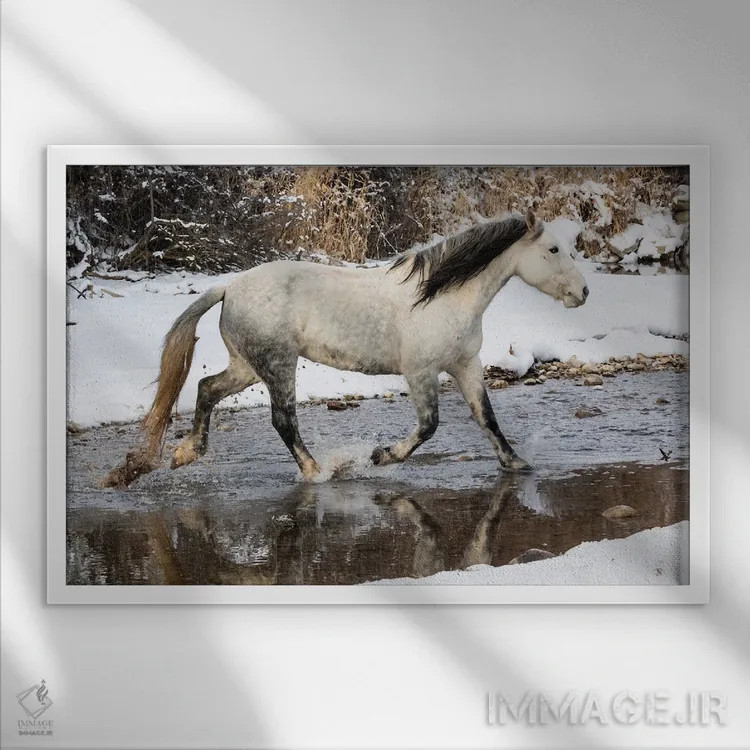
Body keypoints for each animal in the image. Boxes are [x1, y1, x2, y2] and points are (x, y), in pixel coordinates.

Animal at [104, 209, 588, 487]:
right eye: (553, 249)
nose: (583, 293)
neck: (441, 297)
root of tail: (229, 287)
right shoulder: (421, 371)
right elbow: (429, 426)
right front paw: (380, 457)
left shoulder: (465, 364)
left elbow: (487, 418)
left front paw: (517, 464)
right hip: (278, 364)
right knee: (283, 420)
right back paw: (318, 472)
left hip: (247, 366)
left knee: (206, 388)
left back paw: (185, 454)